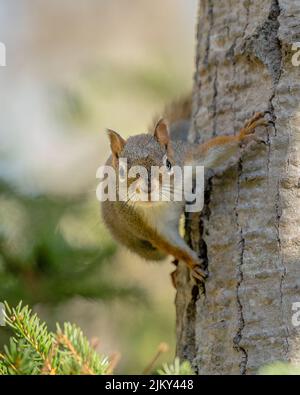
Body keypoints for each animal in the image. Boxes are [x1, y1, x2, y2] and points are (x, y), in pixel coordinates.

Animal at [101, 98, 268, 284]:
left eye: (168, 163)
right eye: (122, 171)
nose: (148, 188)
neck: (163, 202)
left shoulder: (189, 160)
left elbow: (213, 152)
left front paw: (243, 135)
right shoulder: (146, 224)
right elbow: (172, 246)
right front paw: (193, 265)